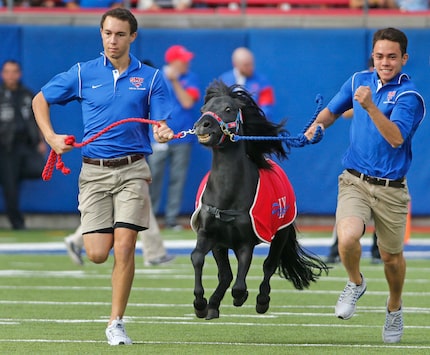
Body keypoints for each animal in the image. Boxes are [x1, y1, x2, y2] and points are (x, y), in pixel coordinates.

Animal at [190, 80, 328, 320]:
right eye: (202, 109)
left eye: (228, 109)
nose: (203, 125)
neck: (227, 195)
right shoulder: (208, 234)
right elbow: (197, 258)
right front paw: (200, 303)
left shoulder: (246, 241)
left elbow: (241, 281)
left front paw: (241, 297)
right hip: (221, 244)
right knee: (225, 274)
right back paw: (213, 305)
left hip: (281, 233)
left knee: (268, 265)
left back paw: (262, 301)